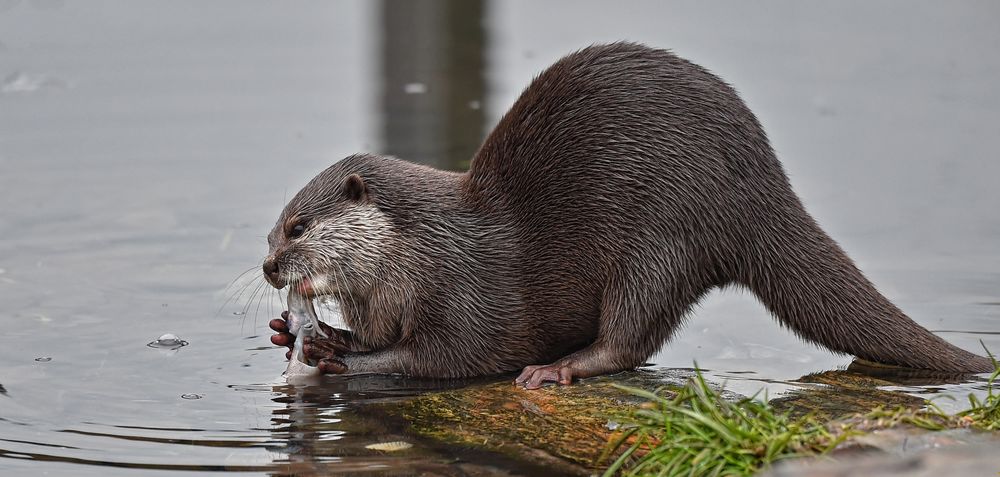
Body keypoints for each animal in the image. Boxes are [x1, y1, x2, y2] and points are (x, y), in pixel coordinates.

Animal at [262, 42, 996, 388]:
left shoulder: (464, 292)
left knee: (632, 336)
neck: (416, 254)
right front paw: (302, 333)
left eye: (299, 226)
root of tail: (767, 186)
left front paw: (335, 358)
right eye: (271, 230)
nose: (269, 266)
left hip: (665, 236)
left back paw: (560, 369)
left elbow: (443, 358)